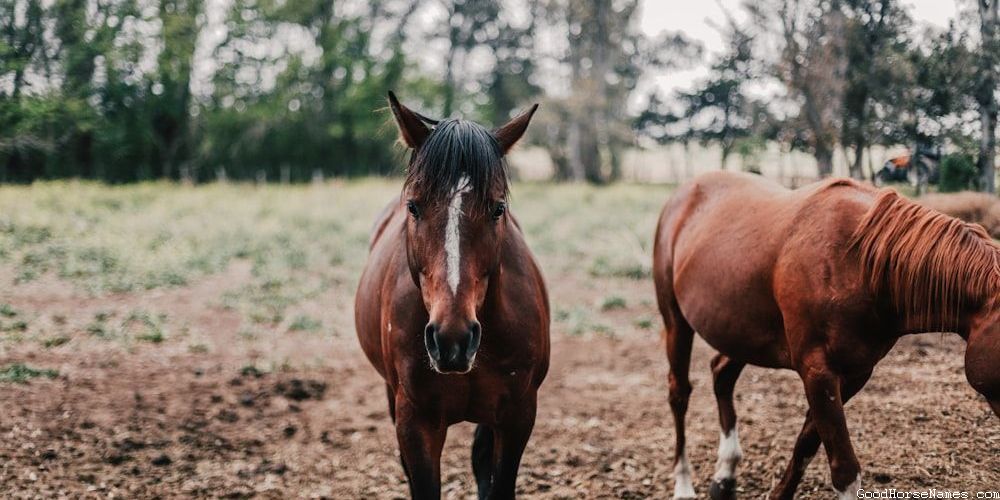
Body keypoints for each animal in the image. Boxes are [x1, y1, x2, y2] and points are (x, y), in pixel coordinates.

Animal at [652, 171, 999, 500]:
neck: (860, 263)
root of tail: (683, 195)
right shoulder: (817, 372)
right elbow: (845, 471)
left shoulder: (853, 374)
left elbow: (806, 444)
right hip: (677, 322)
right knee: (679, 393)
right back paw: (683, 485)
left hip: (740, 332)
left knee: (721, 375)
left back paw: (724, 477)